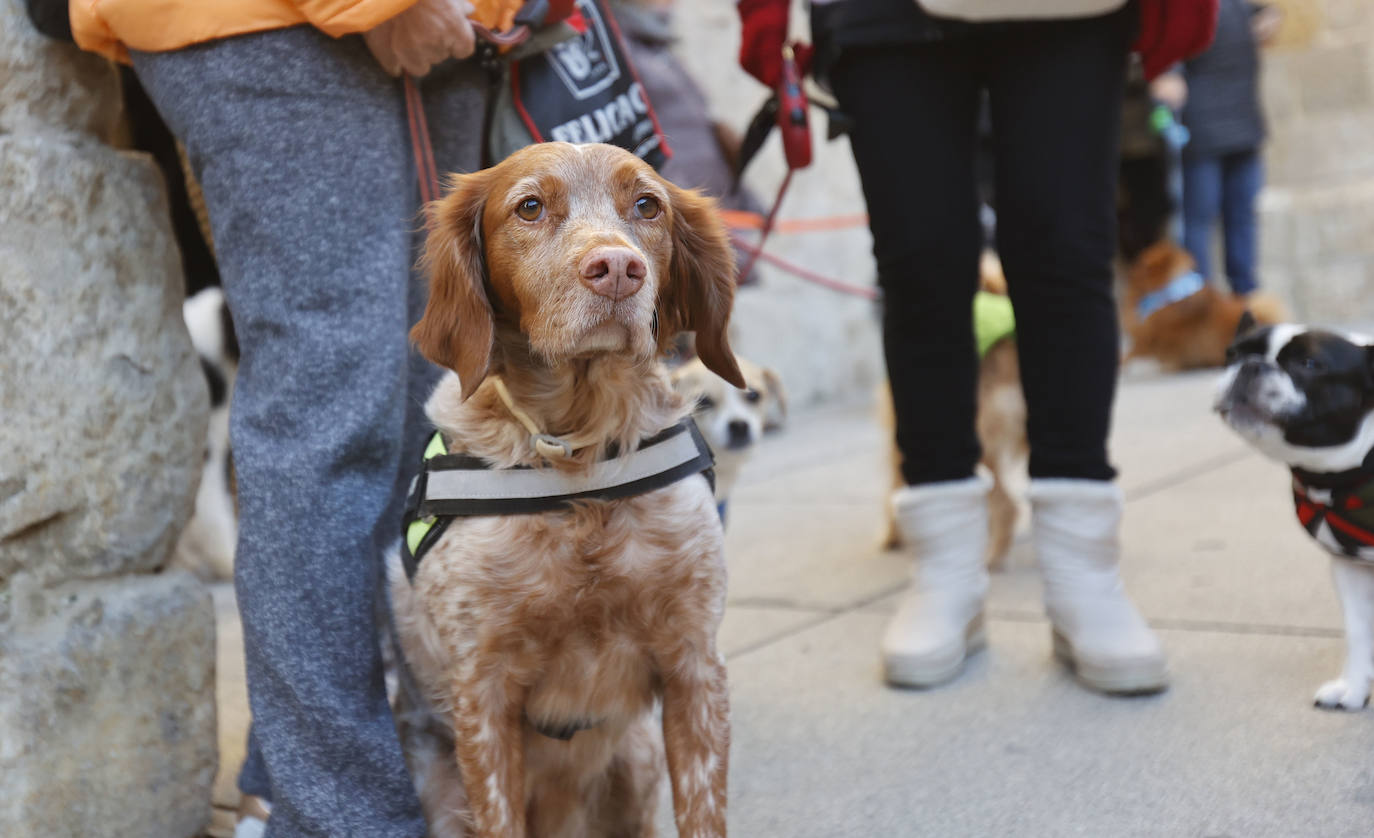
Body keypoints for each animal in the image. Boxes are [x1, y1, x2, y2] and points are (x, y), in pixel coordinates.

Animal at [387, 143, 741, 835]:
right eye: (529, 207)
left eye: (647, 205)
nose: (619, 269)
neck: (579, 452)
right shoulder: (483, 692)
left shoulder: (693, 664)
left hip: (636, 761)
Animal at [1220, 315, 1374, 708]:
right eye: (1232, 354)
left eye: (1309, 364)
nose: (1251, 365)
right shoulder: (1349, 568)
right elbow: (1358, 630)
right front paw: (1353, 687)